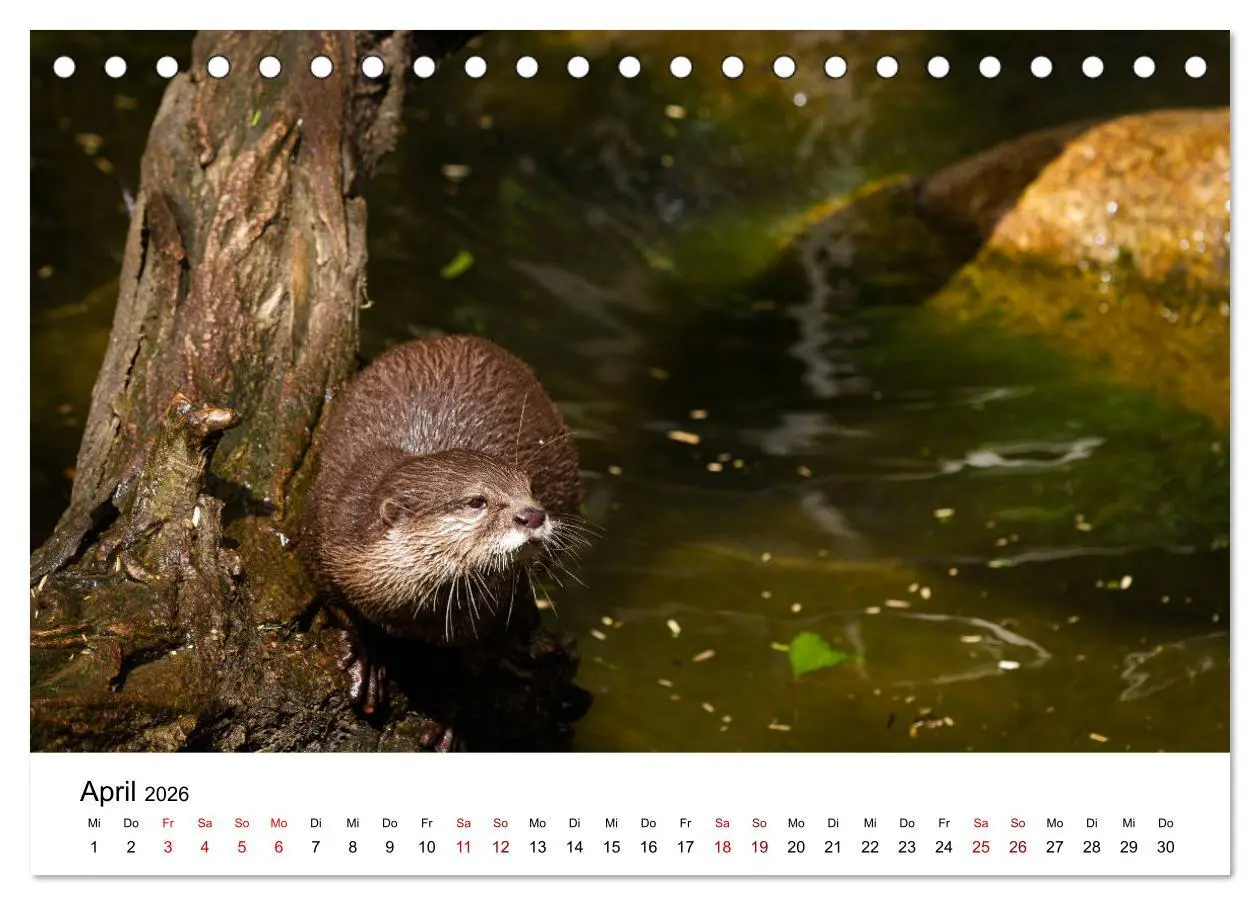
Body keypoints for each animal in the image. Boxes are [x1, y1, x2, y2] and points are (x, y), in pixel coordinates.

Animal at [301, 334, 585, 716]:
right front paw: (367, 659)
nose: (533, 514)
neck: (412, 614)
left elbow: (482, 666)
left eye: (531, 489)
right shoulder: (323, 532)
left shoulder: (502, 608)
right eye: (477, 501)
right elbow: (339, 607)